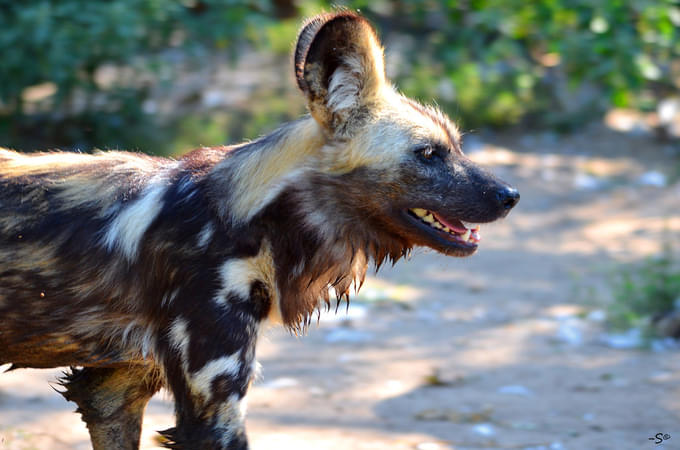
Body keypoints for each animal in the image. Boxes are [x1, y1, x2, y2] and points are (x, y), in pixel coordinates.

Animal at [1, 11, 520, 450]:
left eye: (456, 146)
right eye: (428, 154)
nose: (510, 195)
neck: (251, 217)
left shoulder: (113, 392)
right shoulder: (213, 404)